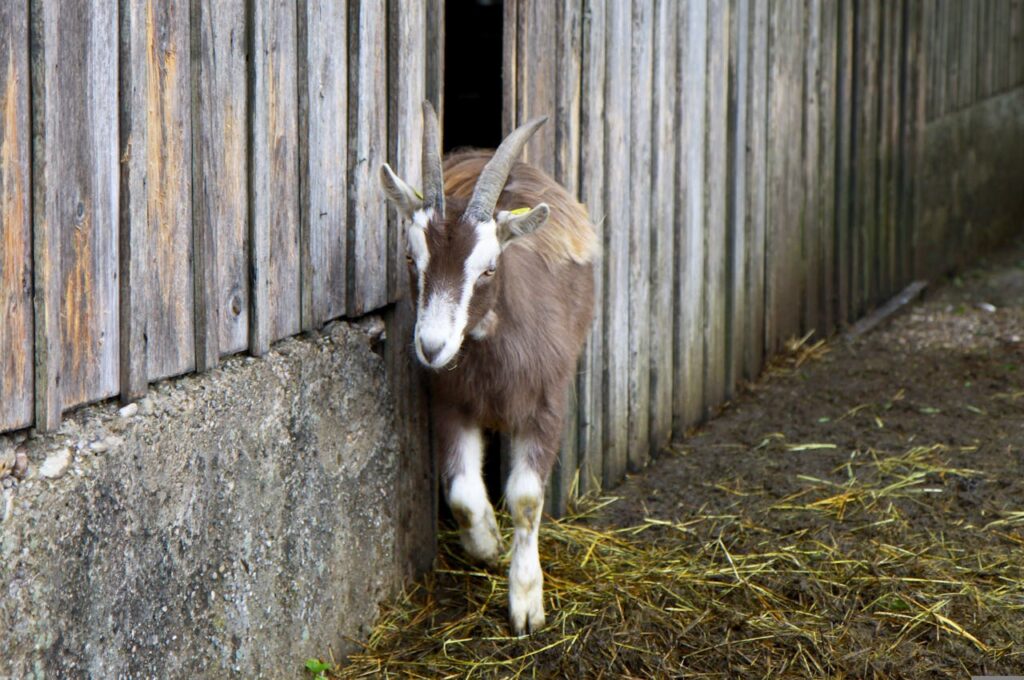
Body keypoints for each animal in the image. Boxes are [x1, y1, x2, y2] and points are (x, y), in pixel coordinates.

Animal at [380, 102, 598, 635]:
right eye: (411, 258)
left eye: (489, 269)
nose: (432, 347)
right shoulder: (449, 401)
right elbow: (461, 492)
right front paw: (486, 545)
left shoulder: (547, 403)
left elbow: (525, 499)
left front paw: (526, 604)